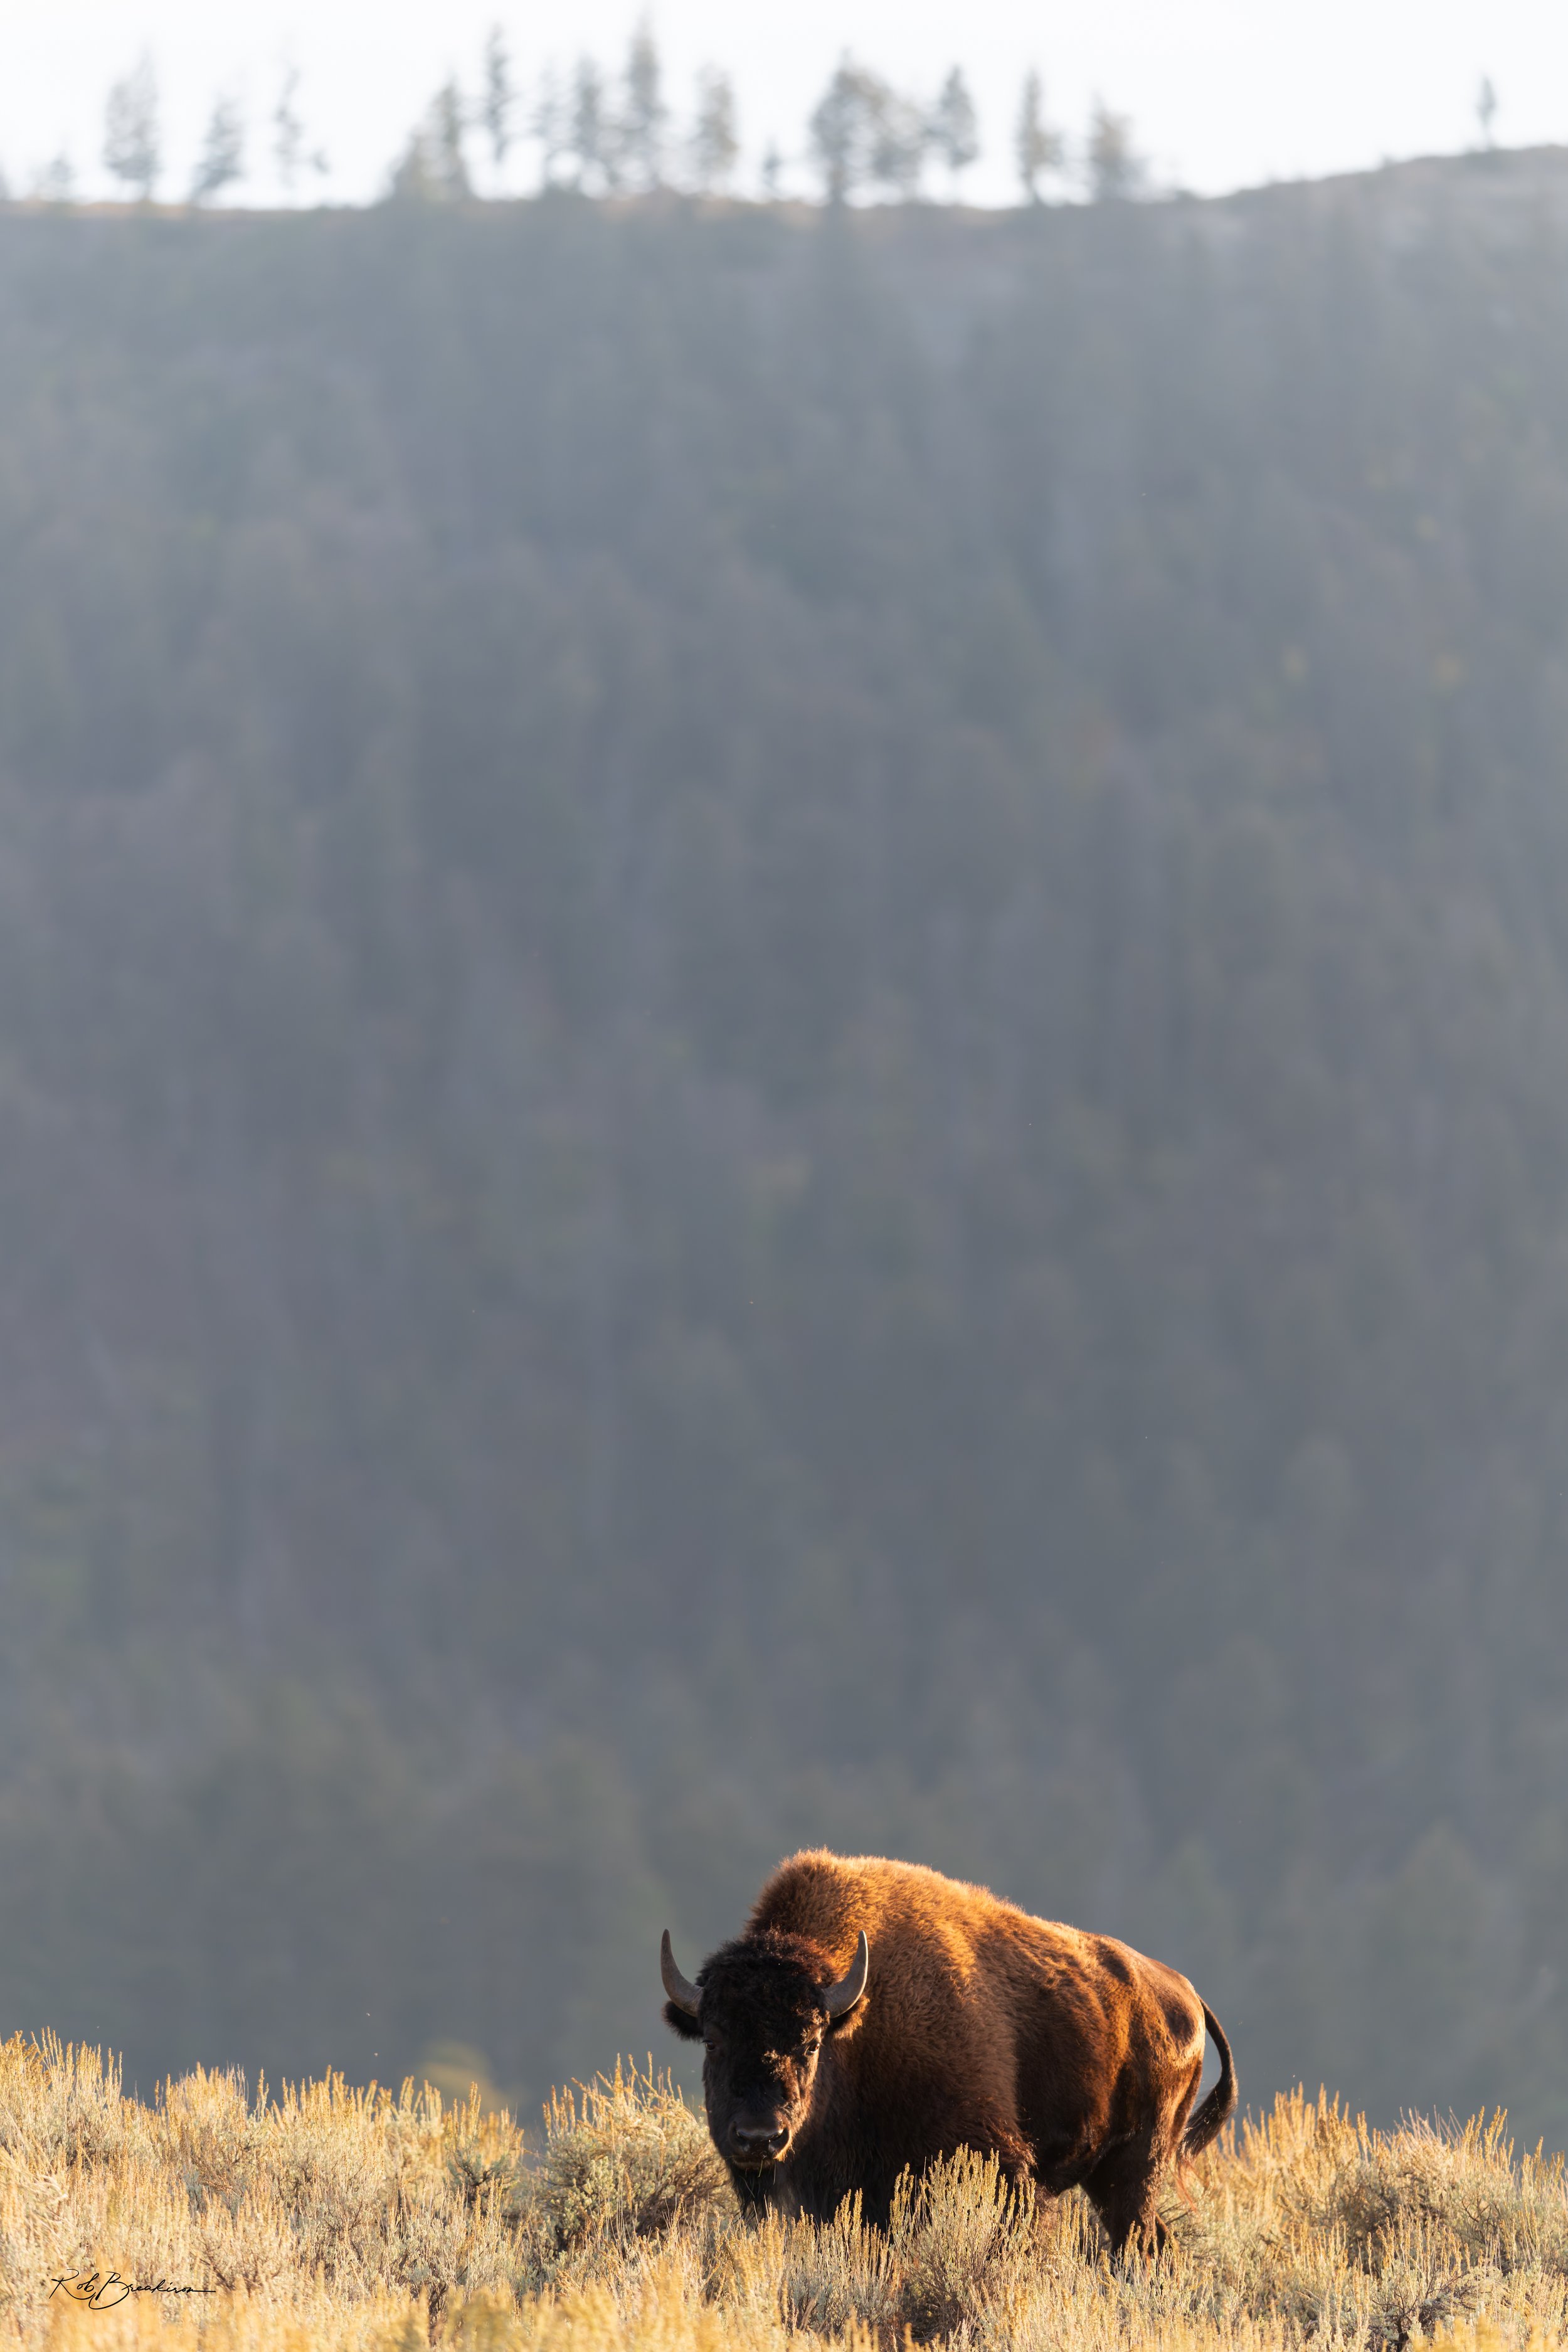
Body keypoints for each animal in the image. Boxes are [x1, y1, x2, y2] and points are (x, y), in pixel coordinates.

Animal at [661, 1848, 1235, 2249]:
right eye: (712, 2040)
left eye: (810, 2042)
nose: (759, 2137)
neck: (862, 2021)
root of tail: (1184, 1993)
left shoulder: (991, 2161)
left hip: (1137, 2164)